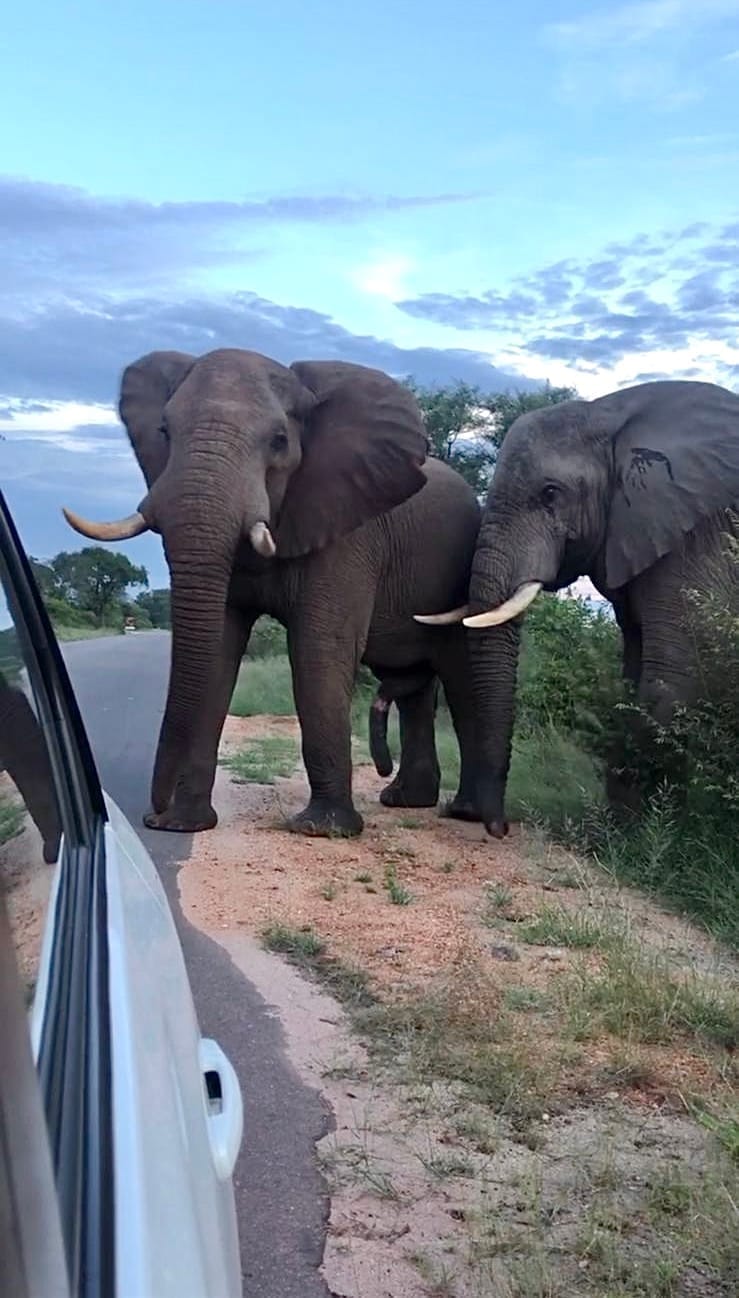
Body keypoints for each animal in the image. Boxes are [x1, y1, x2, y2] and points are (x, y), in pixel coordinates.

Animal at [63, 348, 487, 838]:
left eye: (280, 441)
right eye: (165, 432)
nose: (153, 815)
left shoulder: (347, 530)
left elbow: (319, 650)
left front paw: (322, 830)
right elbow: (220, 651)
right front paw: (186, 824)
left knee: (462, 681)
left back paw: (466, 812)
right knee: (415, 687)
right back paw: (406, 801)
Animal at [417, 379, 739, 837]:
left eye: (551, 494)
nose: (489, 823)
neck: (612, 414)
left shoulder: (700, 534)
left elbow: (675, 680)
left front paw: (647, 835)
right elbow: (632, 676)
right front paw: (623, 828)